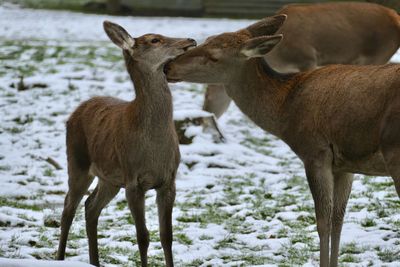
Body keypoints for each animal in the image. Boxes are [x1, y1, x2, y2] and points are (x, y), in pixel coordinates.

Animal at [56, 21, 197, 267]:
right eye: (154, 39)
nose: (190, 40)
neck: (154, 149)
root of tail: (76, 111)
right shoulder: (133, 180)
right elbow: (143, 236)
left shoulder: (169, 181)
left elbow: (167, 236)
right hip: (77, 160)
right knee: (68, 208)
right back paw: (60, 257)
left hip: (110, 178)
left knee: (90, 206)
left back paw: (95, 261)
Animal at [165, 13, 400, 266]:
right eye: (207, 40)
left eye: (213, 56)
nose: (168, 66)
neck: (285, 110)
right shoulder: (345, 164)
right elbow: (338, 220)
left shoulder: (314, 151)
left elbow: (323, 222)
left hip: (394, 153)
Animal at [205, 1, 400, 119]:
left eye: (207, 93)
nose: (205, 112)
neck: (279, 58)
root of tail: (396, 18)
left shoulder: (308, 58)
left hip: (380, 52)